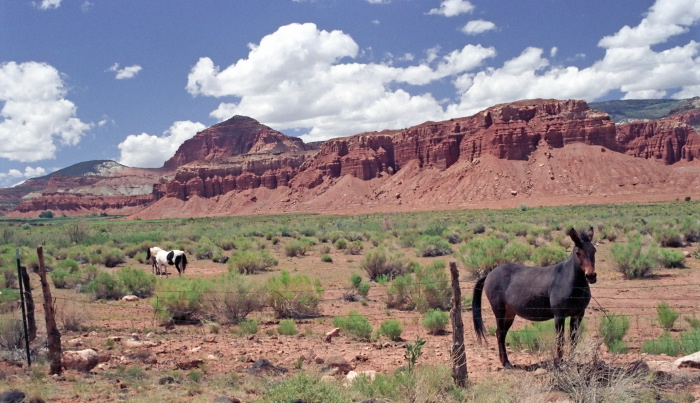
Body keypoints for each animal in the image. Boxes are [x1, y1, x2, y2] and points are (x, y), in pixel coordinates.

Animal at [470, 227, 596, 370]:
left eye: (594, 250)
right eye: (578, 253)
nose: (591, 276)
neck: (569, 281)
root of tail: (490, 273)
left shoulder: (578, 314)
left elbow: (574, 339)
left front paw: (572, 362)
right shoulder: (559, 315)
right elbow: (560, 339)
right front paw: (560, 363)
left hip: (509, 314)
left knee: (501, 333)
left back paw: (505, 362)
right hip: (499, 311)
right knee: (500, 333)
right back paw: (506, 363)